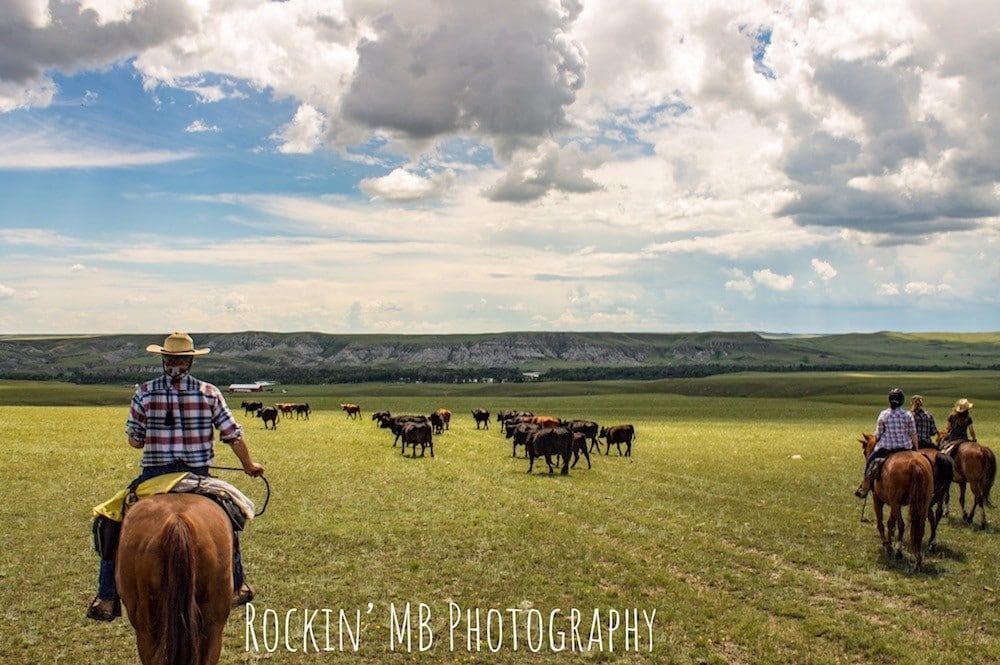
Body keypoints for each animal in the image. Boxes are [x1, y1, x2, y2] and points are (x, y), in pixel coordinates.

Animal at [856, 434, 932, 568]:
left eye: (865, 451)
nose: (867, 456)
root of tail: (915, 463)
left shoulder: (878, 499)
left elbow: (881, 523)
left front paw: (887, 545)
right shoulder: (893, 504)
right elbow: (890, 523)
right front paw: (889, 542)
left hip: (896, 503)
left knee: (901, 525)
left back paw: (898, 553)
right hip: (922, 503)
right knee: (919, 527)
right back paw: (917, 558)